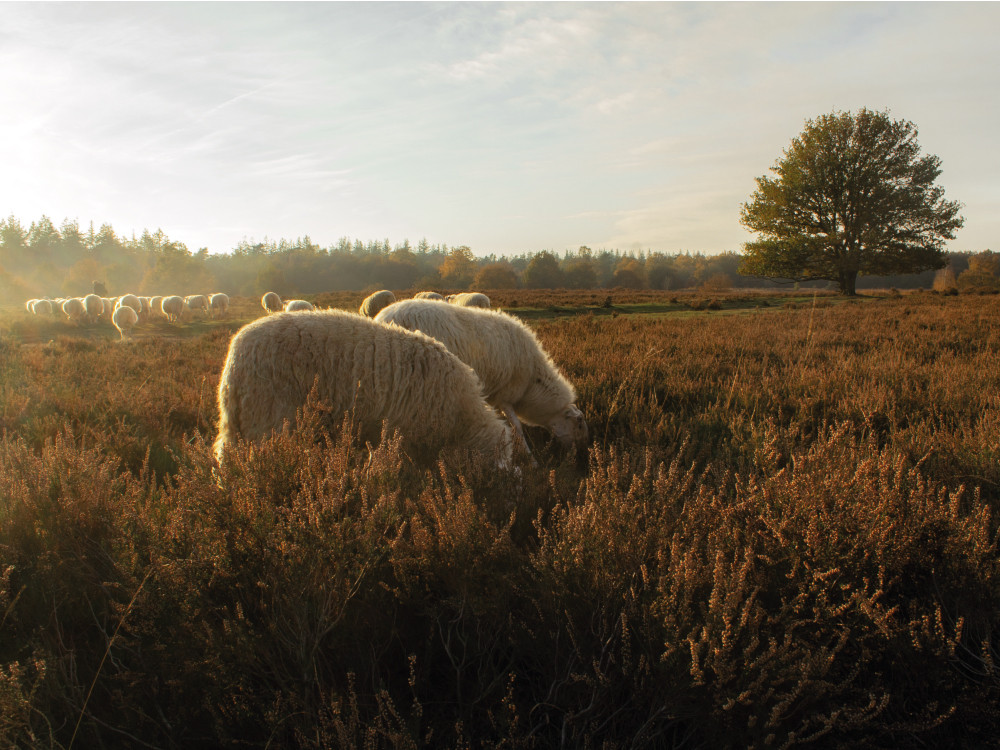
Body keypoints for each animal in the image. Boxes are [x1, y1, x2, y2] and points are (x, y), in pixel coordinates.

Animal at [378, 302, 588, 456]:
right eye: (579, 423)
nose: (581, 455)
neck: (533, 384)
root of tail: (383, 316)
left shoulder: (494, 396)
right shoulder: (506, 395)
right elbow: (517, 428)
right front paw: (531, 459)